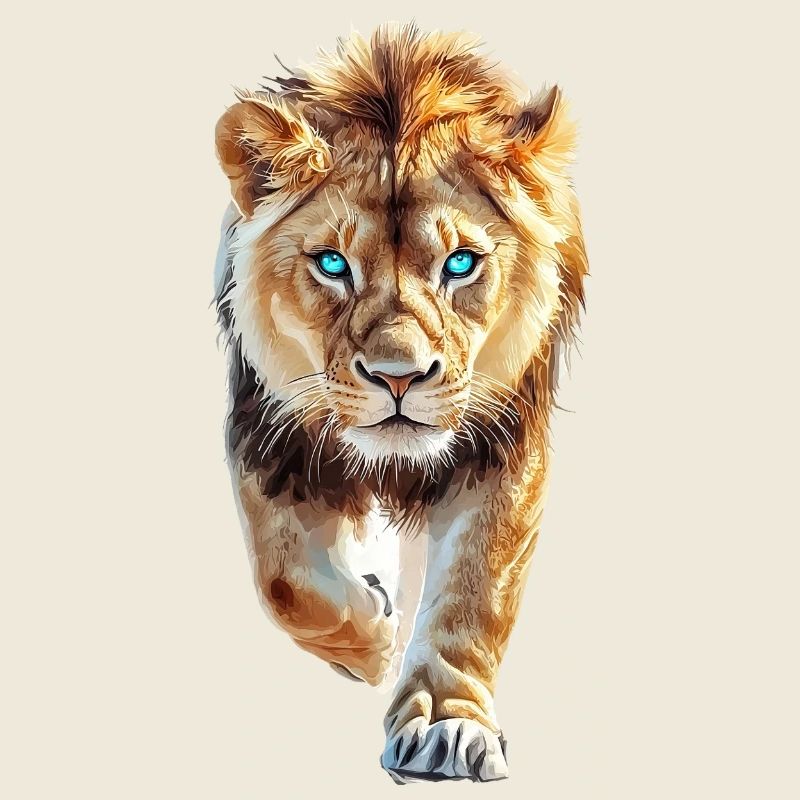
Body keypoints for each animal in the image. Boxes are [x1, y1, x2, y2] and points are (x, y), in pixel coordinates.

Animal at [213, 23, 587, 783]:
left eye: (461, 263)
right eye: (332, 264)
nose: (398, 377)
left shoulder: (504, 443)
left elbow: (475, 592)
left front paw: (446, 724)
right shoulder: (266, 433)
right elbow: (284, 582)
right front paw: (375, 642)